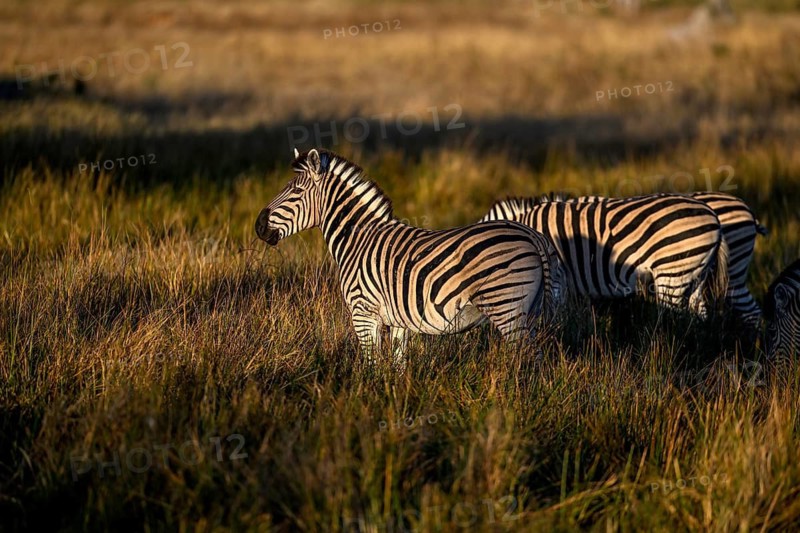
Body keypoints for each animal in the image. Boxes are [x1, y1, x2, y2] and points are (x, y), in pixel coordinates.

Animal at [255, 149, 564, 367]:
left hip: (507, 307)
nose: (258, 225)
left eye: (296, 191)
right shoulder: (398, 321)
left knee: (528, 358)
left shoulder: (363, 313)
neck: (357, 240)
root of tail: (531, 234)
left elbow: (372, 365)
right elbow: (396, 364)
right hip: (529, 310)